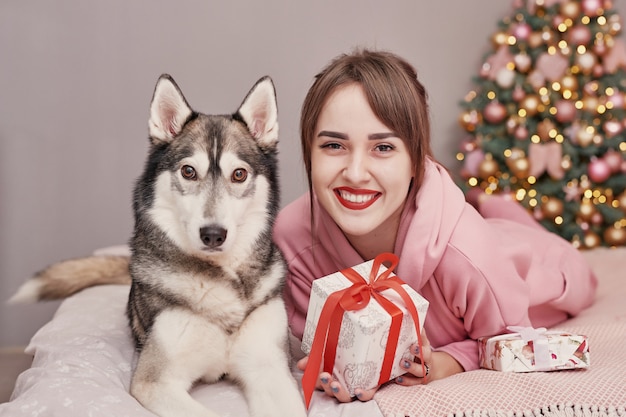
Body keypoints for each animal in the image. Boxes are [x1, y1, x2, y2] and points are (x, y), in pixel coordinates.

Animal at [13, 75, 306, 416]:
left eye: (239, 174)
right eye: (188, 171)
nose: (213, 234)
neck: (218, 282)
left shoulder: (269, 369)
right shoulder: (155, 382)